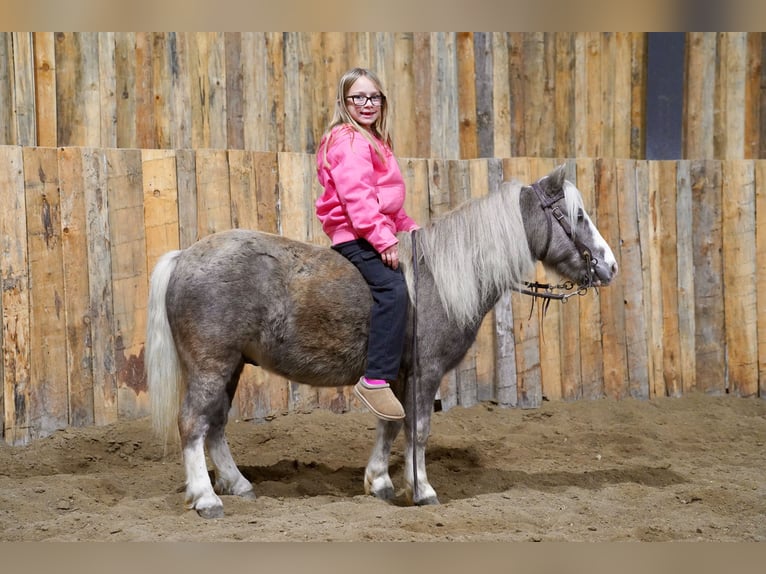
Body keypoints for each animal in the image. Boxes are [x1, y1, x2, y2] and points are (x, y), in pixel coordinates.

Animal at [146, 164, 618, 518]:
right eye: (577, 216)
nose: (610, 265)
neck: (436, 279)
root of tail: (184, 256)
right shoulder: (426, 372)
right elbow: (418, 429)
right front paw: (422, 490)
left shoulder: (397, 373)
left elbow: (390, 424)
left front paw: (380, 482)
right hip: (211, 365)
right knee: (193, 423)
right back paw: (206, 498)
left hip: (231, 366)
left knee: (216, 425)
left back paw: (237, 484)